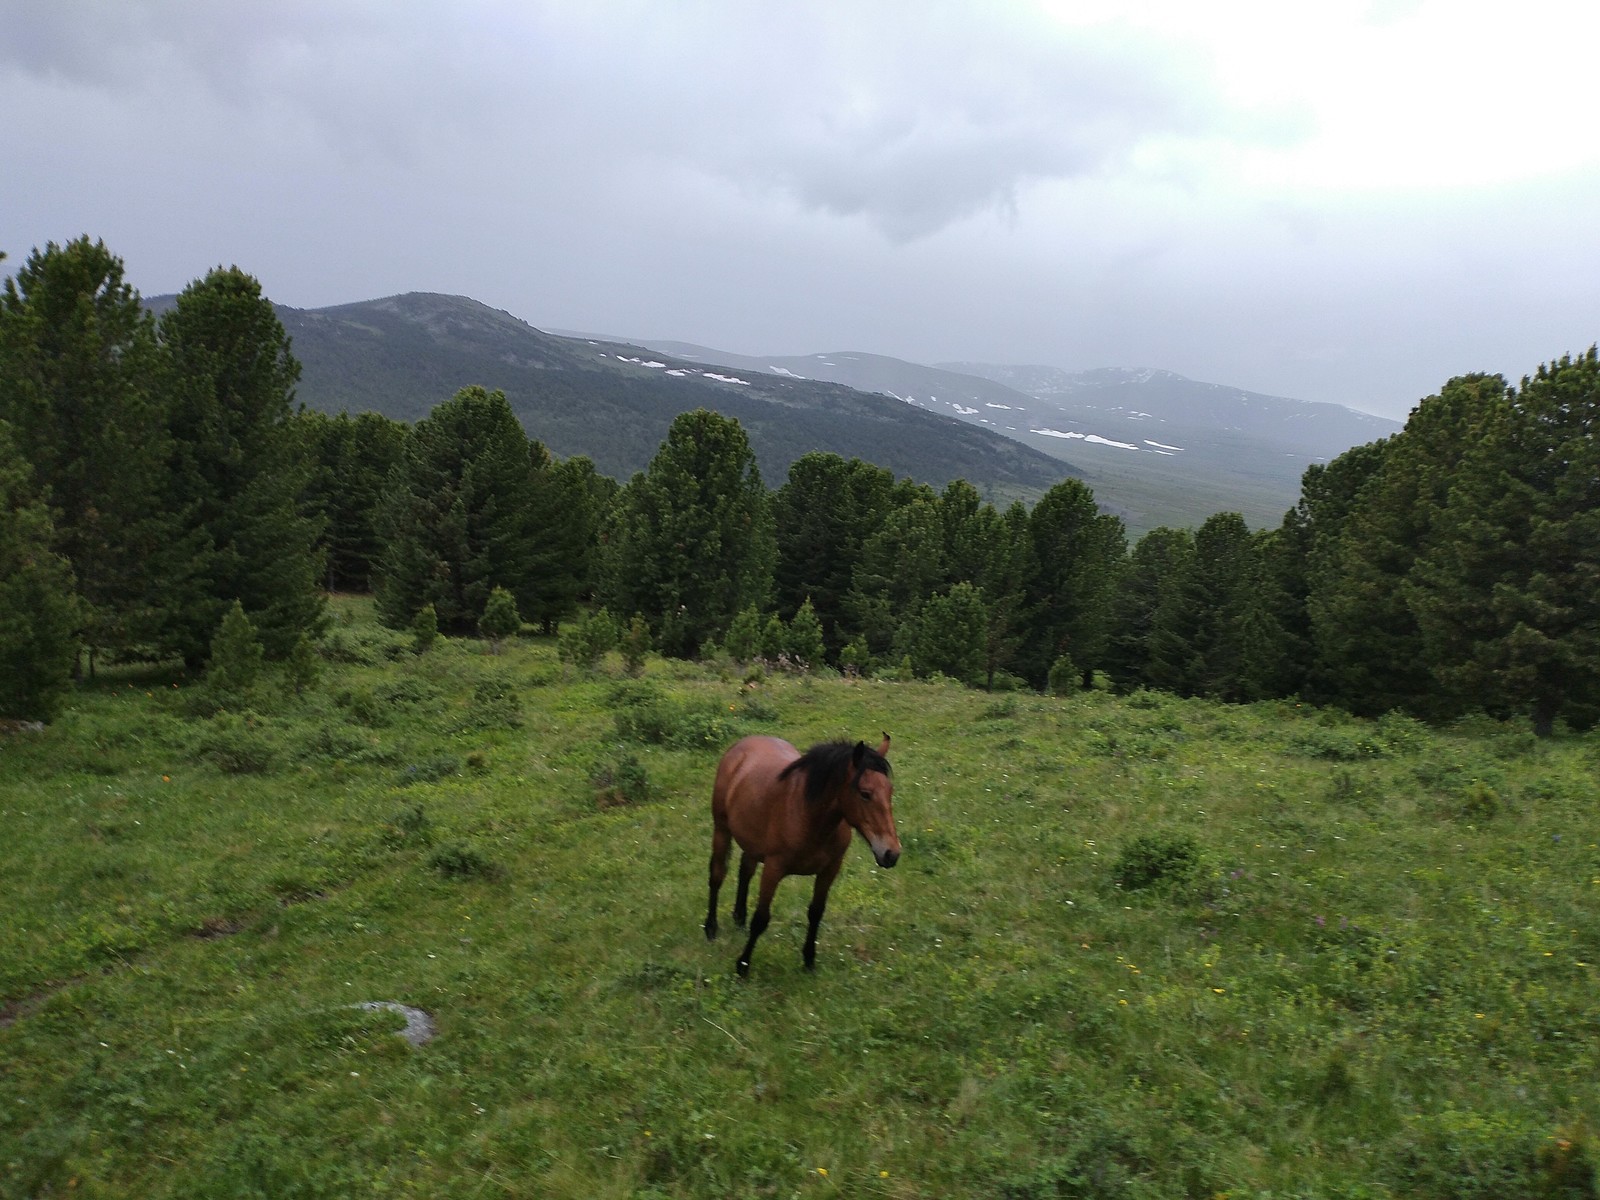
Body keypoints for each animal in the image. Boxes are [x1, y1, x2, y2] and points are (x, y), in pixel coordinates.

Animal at [704, 732, 902, 979]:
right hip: (722, 830)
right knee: (717, 875)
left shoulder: (830, 869)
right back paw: (711, 928)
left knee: (745, 870)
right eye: (865, 794)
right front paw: (743, 965)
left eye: (890, 791)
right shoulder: (773, 868)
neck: (809, 817)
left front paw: (809, 961)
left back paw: (739, 918)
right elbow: (761, 919)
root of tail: (743, 744)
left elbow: (816, 912)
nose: (891, 853)